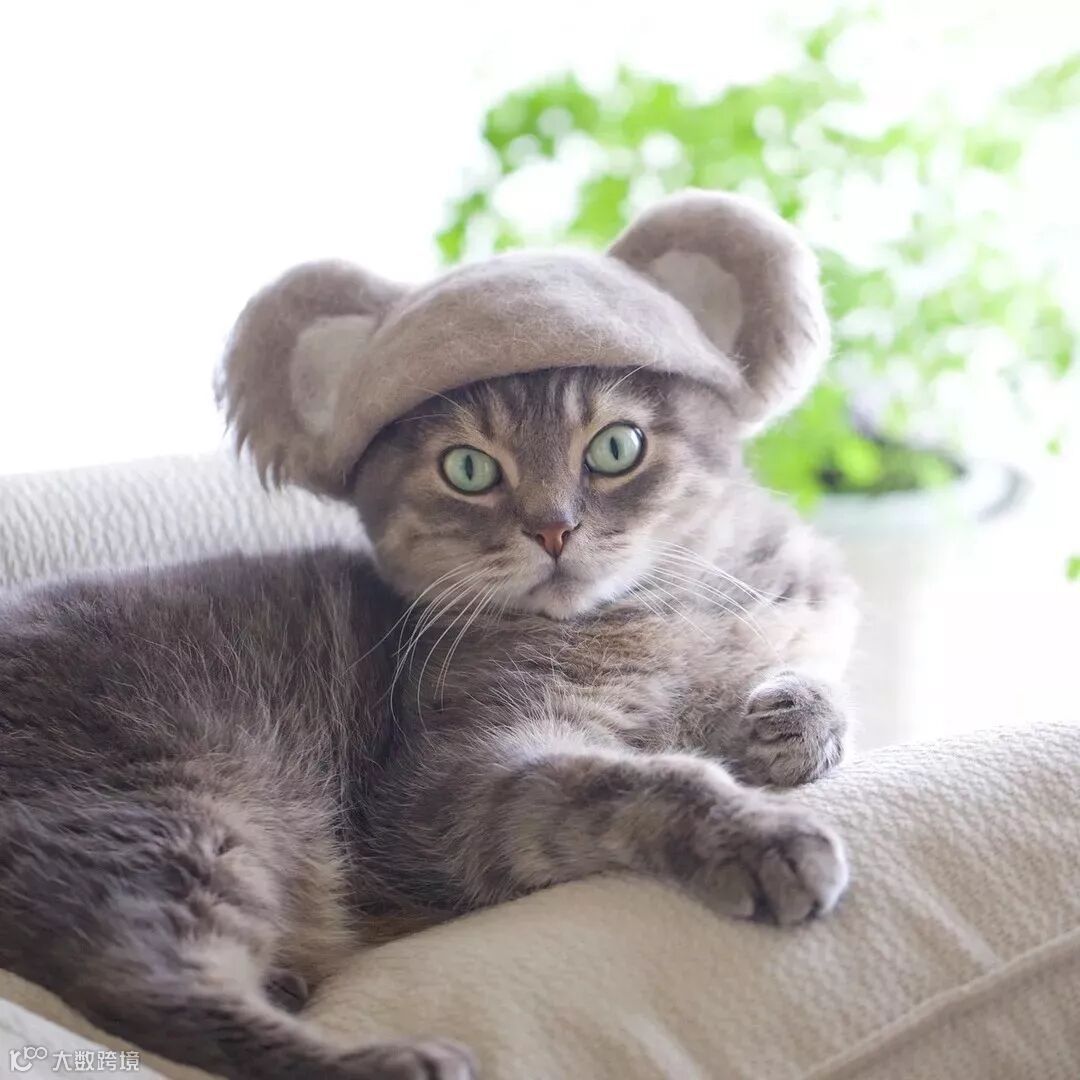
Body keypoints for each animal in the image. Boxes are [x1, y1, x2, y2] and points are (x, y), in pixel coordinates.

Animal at [0, 192, 857, 1080]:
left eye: (617, 447)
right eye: (469, 470)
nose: (554, 529)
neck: (658, 614)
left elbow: (817, 678)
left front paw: (789, 721)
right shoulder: (452, 780)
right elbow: (634, 780)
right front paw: (759, 831)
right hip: (169, 813)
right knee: (146, 981)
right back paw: (392, 1062)